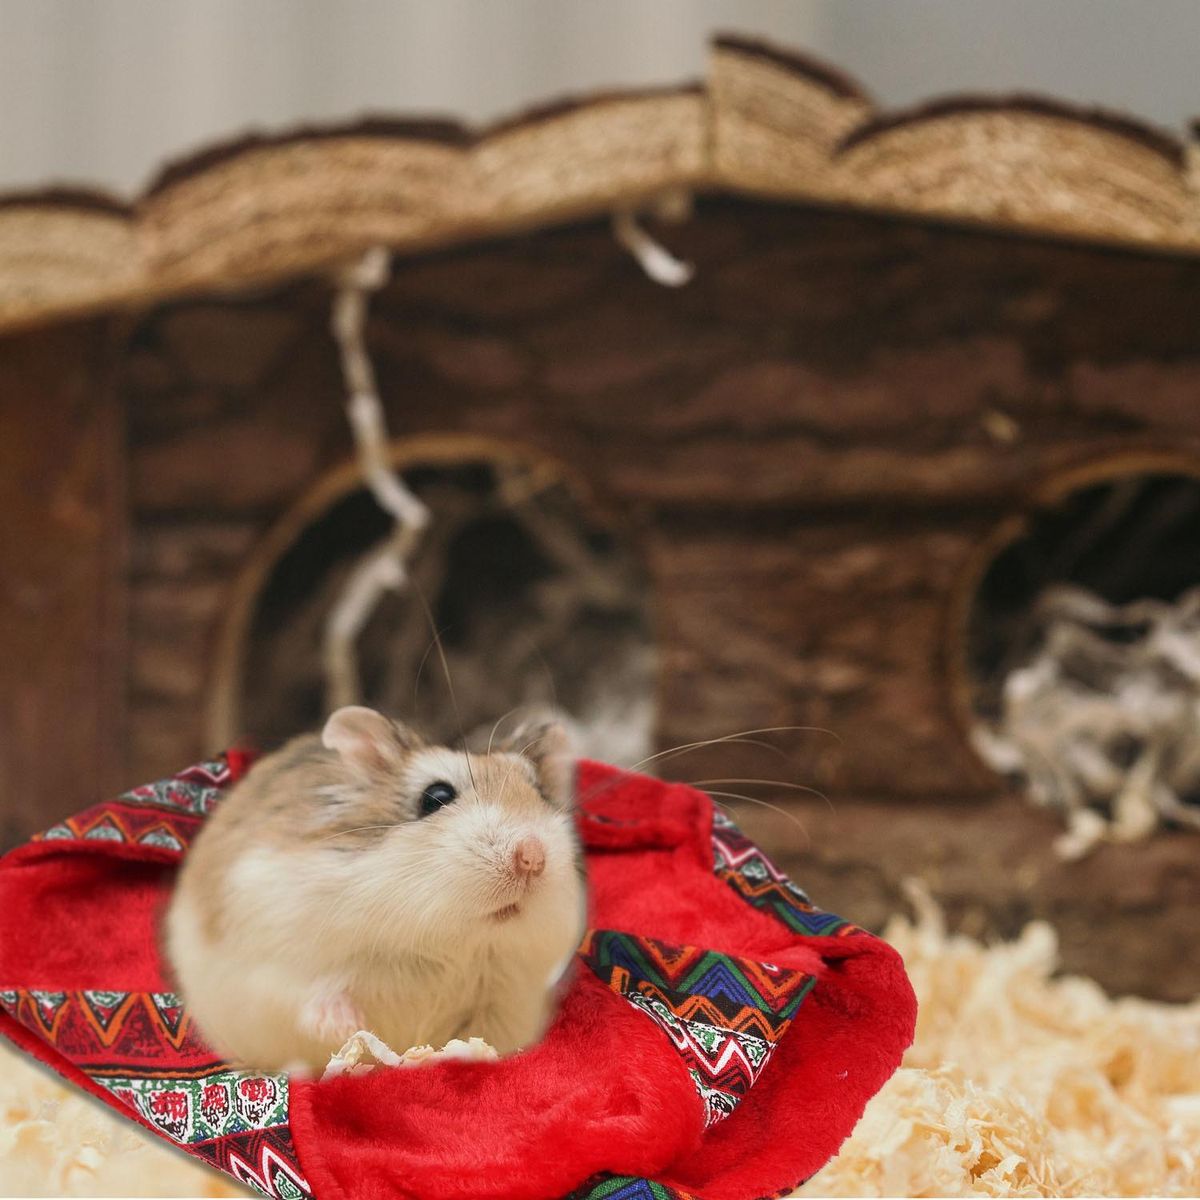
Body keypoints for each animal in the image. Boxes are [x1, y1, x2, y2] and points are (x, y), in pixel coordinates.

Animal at [164, 706, 587, 1074]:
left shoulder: (506, 1002)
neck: (451, 943)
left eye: (540, 794)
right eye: (436, 797)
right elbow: (311, 995)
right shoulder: (275, 961)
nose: (532, 858)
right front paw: (344, 1028)